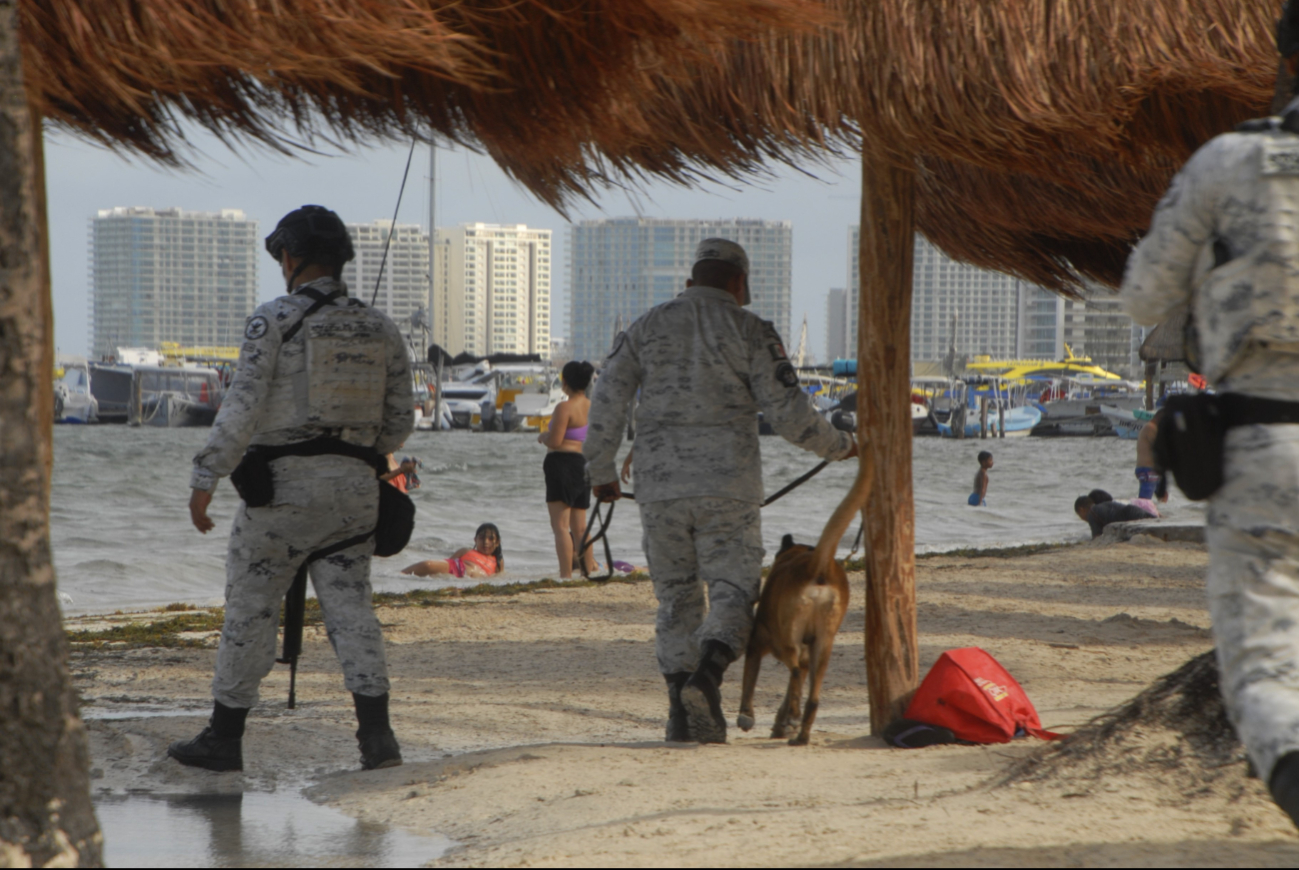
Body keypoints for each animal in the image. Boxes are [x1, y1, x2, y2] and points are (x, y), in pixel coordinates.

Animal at [743, 454, 872, 747]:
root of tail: (818, 566)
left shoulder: (757, 642)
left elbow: (750, 680)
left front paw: (747, 715)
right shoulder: (803, 652)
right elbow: (794, 688)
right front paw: (784, 723)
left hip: (785, 640)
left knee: (793, 670)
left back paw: (794, 720)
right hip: (823, 644)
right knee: (811, 696)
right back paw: (800, 733)